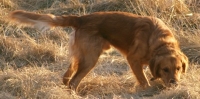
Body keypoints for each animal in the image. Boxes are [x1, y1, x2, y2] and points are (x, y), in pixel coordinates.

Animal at [9, 10, 188, 91]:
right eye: (165, 69)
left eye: (179, 69)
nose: (175, 83)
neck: (159, 41)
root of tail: (81, 19)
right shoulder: (133, 60)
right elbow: (144, 81)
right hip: (90, 59)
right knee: (73, 81)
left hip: (80, 57)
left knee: (67, 77)